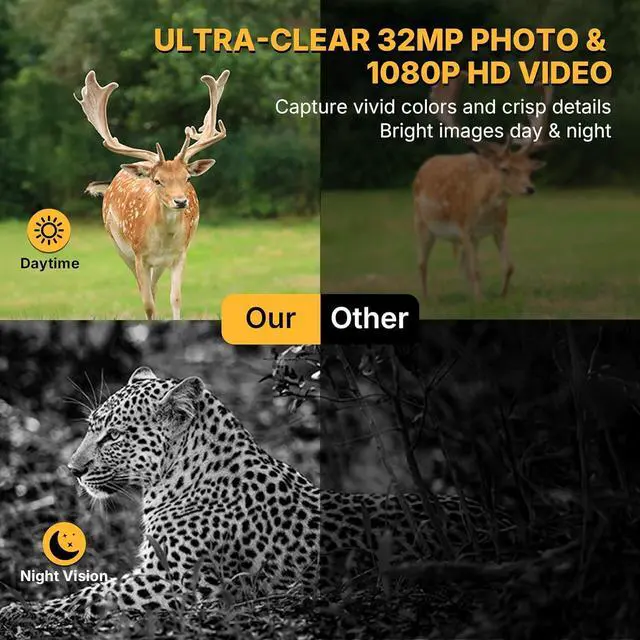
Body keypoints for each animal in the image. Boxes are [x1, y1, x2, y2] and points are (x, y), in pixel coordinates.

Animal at [75, 69, 229, 320]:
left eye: (187, 178)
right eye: (158, 181)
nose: (180, 201)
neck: (163, 242)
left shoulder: (179, 254)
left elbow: (175, 298)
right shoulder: (139, 256)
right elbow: (147, 303)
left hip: (159, 263)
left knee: (155, 288)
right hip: (119, 247)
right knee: (144, 289)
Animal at [413, 75, 553, 301]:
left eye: (529, 169)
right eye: (505, 168)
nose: (529, 188)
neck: (485, 212)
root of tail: (423, 167)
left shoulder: (500, 228)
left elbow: (509, 267)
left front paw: (500, 296)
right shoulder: (464, 228)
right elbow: (476, 270)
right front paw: (480, 301)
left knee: (461, 264)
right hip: (422, 224)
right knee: (422, 263)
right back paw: (426, 298)